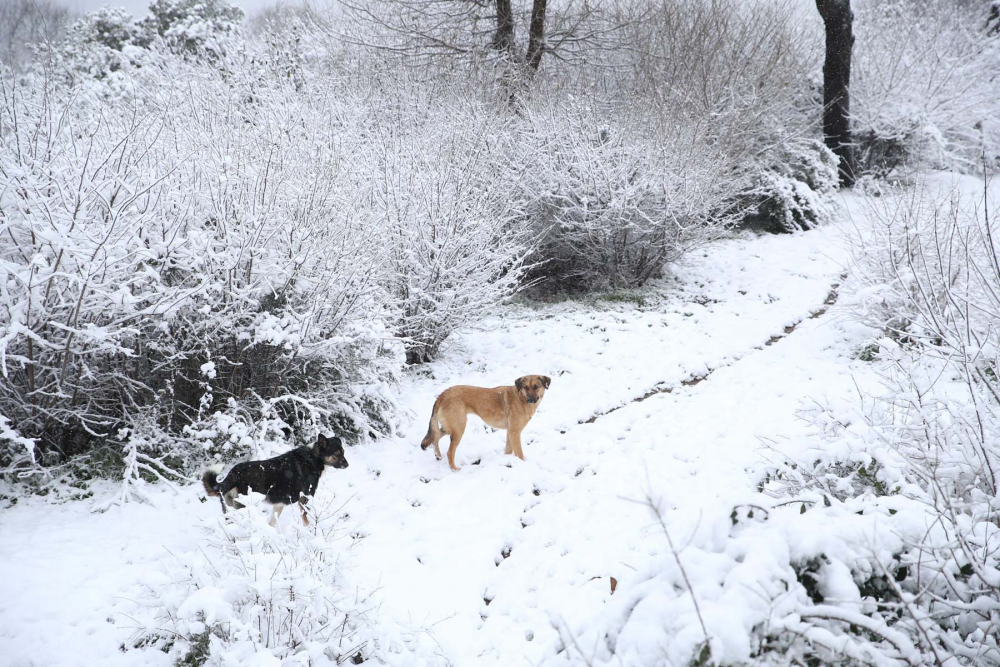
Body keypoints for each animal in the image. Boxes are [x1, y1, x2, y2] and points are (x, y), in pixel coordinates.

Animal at [201, 434, 350, 528]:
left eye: (343, 451)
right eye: (336, 454)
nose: (347, 465)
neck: (314, 457)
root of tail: (233, 475)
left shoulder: (279, 505)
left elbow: (272, 523)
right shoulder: (304, 499)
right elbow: (306, 520)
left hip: (229, 509)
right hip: (244, 507)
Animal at [418, 376, 552, 470]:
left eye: (536, 387)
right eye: (526, 387)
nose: (531, 399)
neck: (521, 398)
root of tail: (442, 395)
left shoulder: (510, 432)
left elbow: (508, 450)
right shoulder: (515, 432)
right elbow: (519, 453)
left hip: (450, 427)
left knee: (435, 437)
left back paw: (438, 455)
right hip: (459, 429)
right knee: (449, 452)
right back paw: (454, 469)